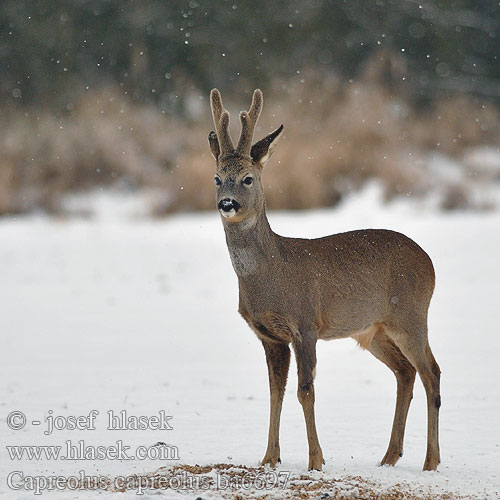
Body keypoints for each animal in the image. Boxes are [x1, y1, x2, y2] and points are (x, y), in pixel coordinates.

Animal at [209, 88, 440, 470]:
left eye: (248, 178)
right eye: (216, 177)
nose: (227, 204)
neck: (270, 276)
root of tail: (431, 264)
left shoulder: (305, 324)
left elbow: (305, 391)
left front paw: (316, 460)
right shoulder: (269, 335)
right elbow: (275, 392)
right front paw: (269, 457)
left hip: (410, 315)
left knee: (431, 373)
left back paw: (430, 462)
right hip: (373, 329)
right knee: (405, 372)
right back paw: (389, 457)